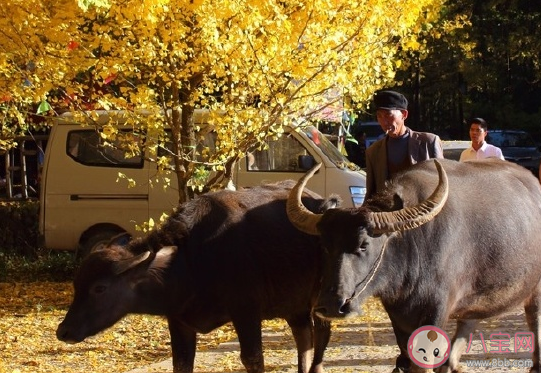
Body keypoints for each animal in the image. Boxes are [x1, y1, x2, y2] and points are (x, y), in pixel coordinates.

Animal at [57, 180, 340, 372]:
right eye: (76, 285)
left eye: (100, 288)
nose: (63, 331)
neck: (193, 261)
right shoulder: (178, 320)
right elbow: (181, 364)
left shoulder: (246, 312)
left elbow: (252, 359)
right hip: (294, 303)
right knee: (303, 337)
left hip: (322, 300)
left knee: (320, 336)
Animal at [288, 158, 541, 372]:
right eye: (324, 245)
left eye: (364, 245)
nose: (332, 305)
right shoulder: (397, 313)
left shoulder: (437, 309)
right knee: (466, 326)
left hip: (535, 292)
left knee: (534, 319)